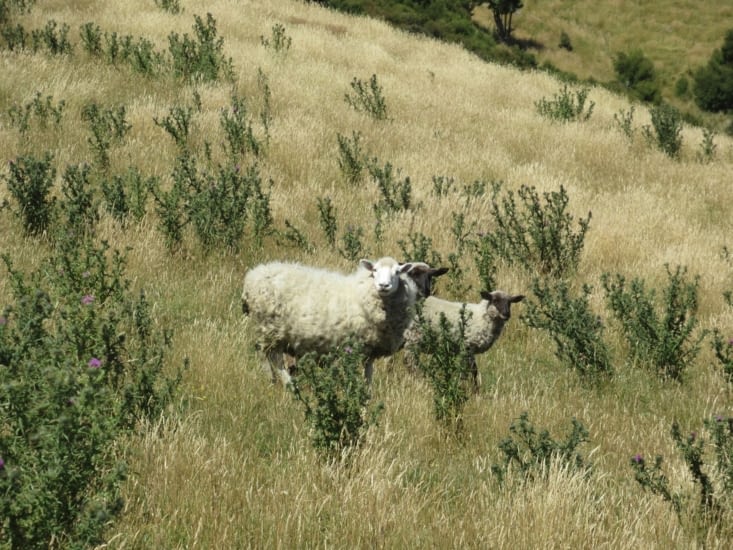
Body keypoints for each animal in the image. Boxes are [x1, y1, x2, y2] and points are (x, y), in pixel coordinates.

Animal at [242, 256, 436, 385]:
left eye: (397, 272)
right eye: (374, 271)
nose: (384, 286)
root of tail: (252, 275)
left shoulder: (369, 352)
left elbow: (368, 378)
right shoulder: (349, 347)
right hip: (269, 328)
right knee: (271, 359)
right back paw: (285, 384)